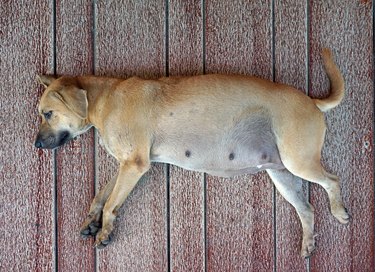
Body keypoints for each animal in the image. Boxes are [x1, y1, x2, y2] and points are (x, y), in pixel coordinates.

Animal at [35, 49, 350, 258]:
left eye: (47, 113)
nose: (36, 144)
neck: (104, 100)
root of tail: (312, 101)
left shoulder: (135, 165)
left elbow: (112, 202)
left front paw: (105, 231)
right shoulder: (127, 164)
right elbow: (102, 194)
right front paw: (92, 220)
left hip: (299, 162)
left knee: (333, 181)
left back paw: (339, 211)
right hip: (281, 173)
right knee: (306, 209)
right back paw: (308, 244)